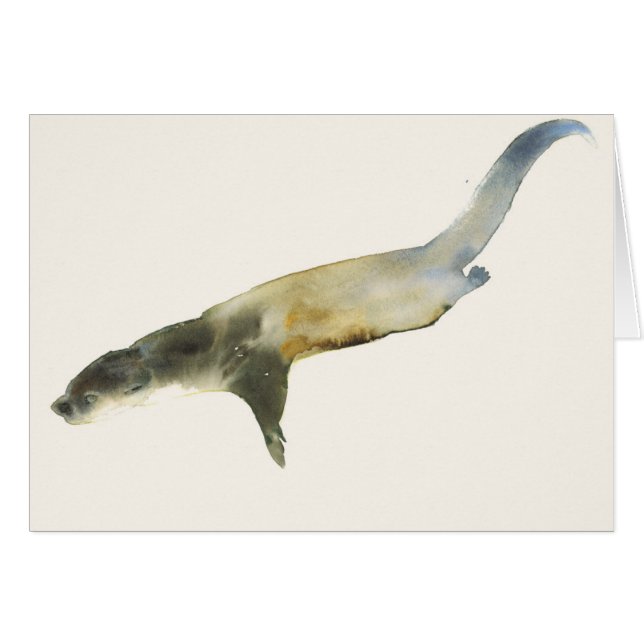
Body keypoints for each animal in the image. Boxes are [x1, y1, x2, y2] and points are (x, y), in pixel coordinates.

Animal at [51, 119, 593, 467]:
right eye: (72, 382)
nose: (58, 407)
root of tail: (425, 250)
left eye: (90, 398)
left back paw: (479, 274)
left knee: (458, 284)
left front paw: (277, 449)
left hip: (430, 294)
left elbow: (269, 405)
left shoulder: (254, 364)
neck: (202, 342)